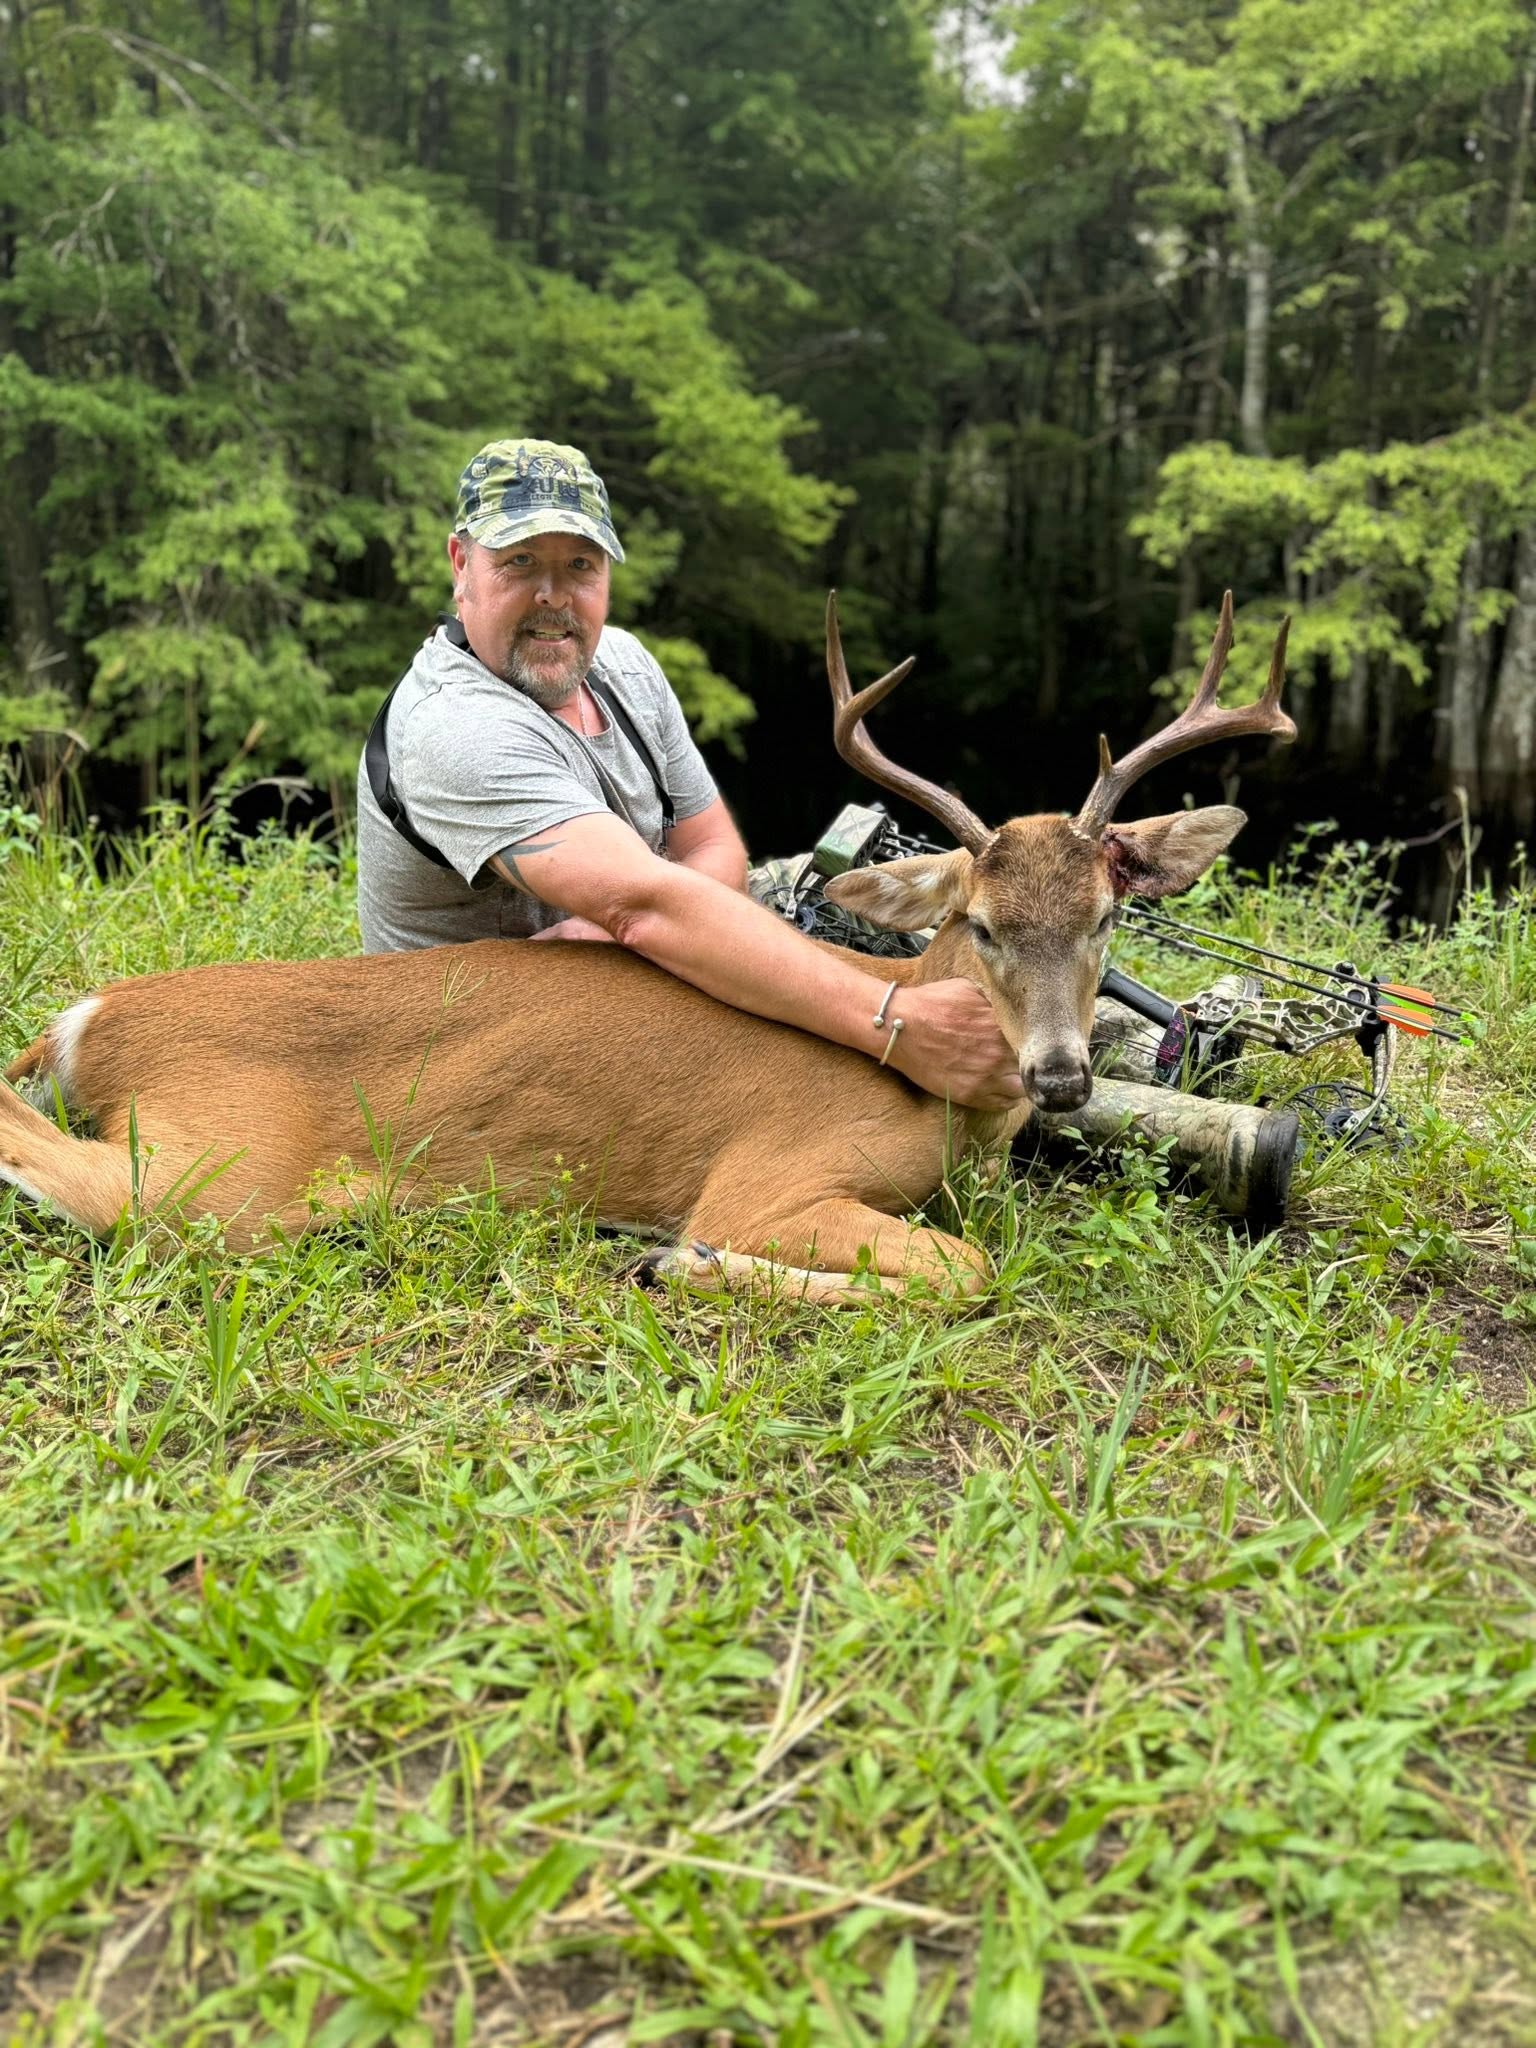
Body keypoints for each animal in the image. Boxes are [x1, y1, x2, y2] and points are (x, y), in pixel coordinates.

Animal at [0, 592, 1293, 1304]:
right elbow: (960, 1271)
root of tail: (90, 1020)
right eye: (978, 923)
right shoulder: (769, 1175)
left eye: (1107, 914)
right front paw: (679, 1259)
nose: (1063, 1076)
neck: (932, 1090)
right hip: (221, 1172)